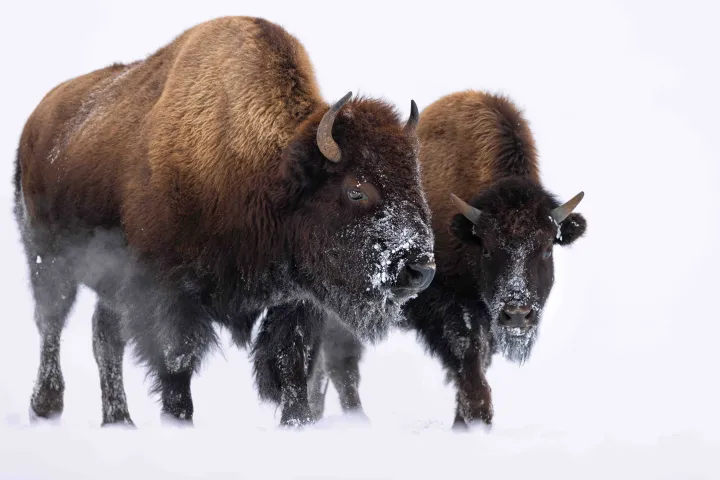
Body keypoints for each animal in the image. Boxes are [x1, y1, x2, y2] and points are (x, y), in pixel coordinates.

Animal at [15, 16, 435, 427]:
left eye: (416, 179)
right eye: (356, 190)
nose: (420, 269)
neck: (265, 174)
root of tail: (35, 123)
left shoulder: (296, 300)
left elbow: (290, 363)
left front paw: (296, 422)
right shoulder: (168, 292)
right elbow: (177, 361)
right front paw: (178, 421)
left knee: (105, 337)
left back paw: (119, 420)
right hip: (48, 260)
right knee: (51, 324)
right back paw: (46, 407)